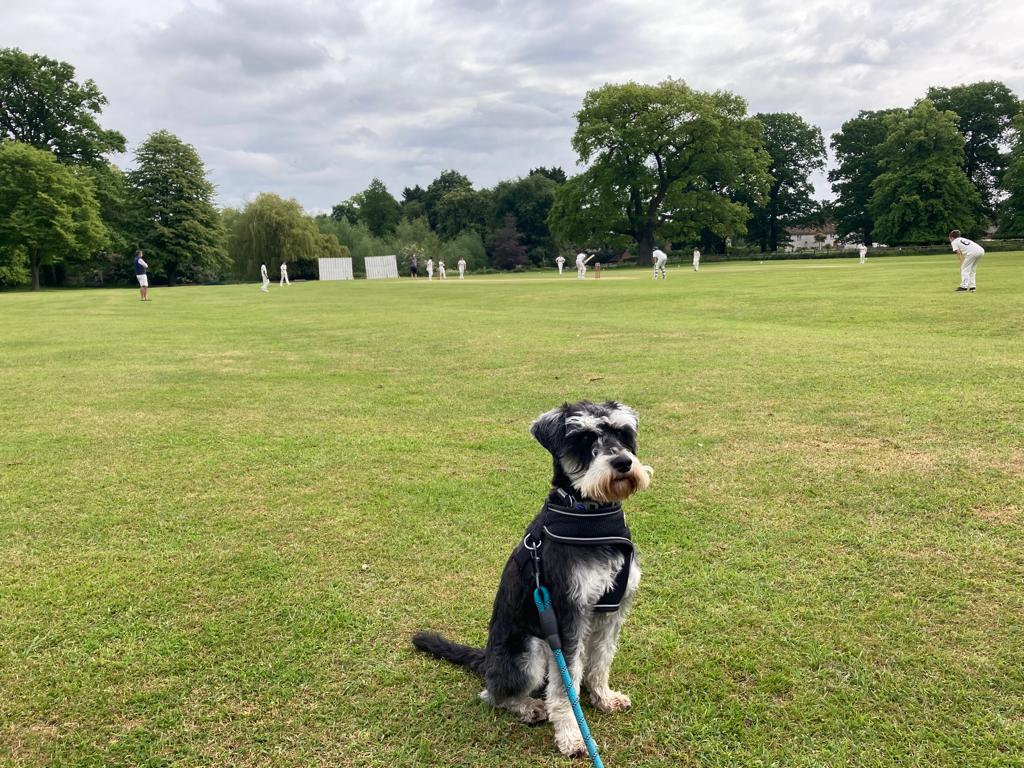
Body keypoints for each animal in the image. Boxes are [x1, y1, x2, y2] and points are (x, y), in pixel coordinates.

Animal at [411, 399, 651, 761]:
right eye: (583, 439)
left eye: (623, 433)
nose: (623, 463)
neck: (590, 514)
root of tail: (487, 659)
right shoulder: (567, 615)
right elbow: (565, 687)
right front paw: (573, 737)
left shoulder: (612, 610)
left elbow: (601, 660)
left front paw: (604, 697)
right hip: (531, 650)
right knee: (494, 694)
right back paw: (527, 707)